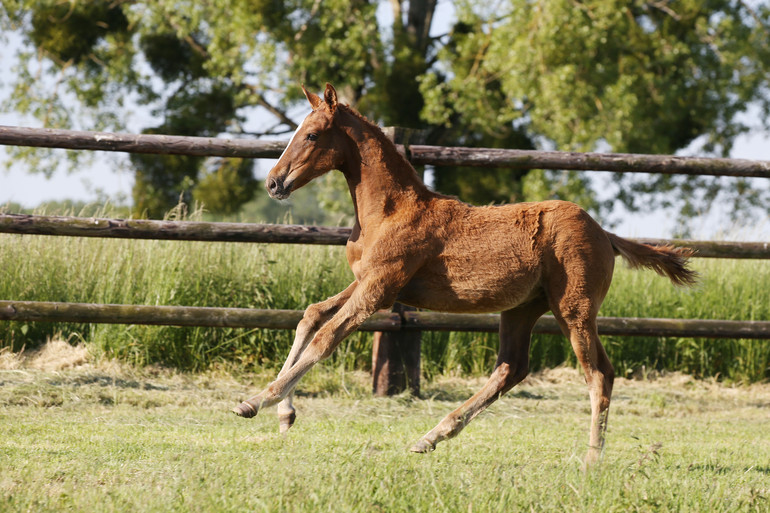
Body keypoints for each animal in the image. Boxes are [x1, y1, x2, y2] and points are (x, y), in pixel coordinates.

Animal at [231, 82, 692, 462]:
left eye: (311, 135)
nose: (273, 183)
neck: (391, 211)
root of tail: (605, 233)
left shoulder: (379, 288)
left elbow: (326, 337)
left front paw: (256, 401)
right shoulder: (369, 282)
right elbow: (310, 316)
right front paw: (284, 413)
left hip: (574, 309)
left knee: (597, 375)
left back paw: (591, 460)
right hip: (523, 308)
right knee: (511, 369)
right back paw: (430, 437)